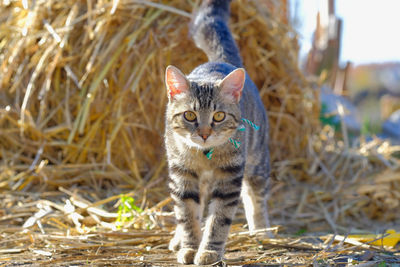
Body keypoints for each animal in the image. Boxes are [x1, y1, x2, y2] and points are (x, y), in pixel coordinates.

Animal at [164, 0, 270, 266]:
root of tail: (223, 61)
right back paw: (178, 239)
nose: (204, 134)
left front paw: (209, 251)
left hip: (257, 161)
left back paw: (262, 231)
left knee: (256, 198)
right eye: (190, 116)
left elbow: (219, 220)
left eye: (219, 116)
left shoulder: (230, 178)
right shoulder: (182, 175)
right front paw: (190, 247)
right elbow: (187, 215)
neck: (204, 155)